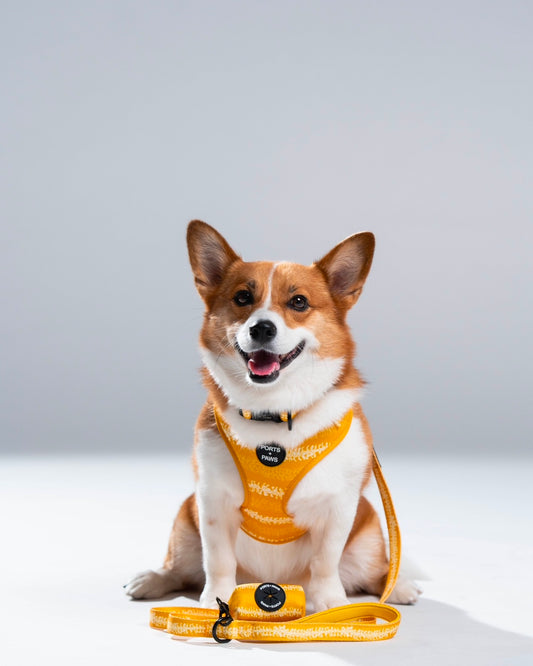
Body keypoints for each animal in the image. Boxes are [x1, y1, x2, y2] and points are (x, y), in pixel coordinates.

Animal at [125, 220, 421, 610]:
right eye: (242, 298)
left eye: (299, 302)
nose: (262, 328)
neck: (274, 412)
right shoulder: (211, 502)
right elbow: (217, 560)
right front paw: (216, 601)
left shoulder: (339, 508)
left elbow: (326, 561)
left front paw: (330, 606)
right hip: (186, 518)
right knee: (181, 567)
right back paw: (152, 579)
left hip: (369, 532)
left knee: (376, 570)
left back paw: (398, 586)